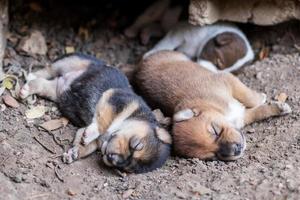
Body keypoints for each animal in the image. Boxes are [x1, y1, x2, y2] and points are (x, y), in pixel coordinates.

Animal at [19, 54, 171, 173]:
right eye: (137, 145)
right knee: (48, 68)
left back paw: (27, 88)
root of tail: (66, 78)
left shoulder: (92, 137)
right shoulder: (113, 99)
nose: (110, 158)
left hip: (54, 90)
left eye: (125, 167)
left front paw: (74, 154)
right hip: (72, 60)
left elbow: (84, 145)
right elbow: (102, 123)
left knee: (41, 84)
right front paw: (92, 132)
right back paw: (30, 77)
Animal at [135, 50, 292, 160]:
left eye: (215, 131)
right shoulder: (242, 116)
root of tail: (139, 67)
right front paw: (278, 108)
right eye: (213, 156)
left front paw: (263, 99)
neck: (210, 105)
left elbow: (249, 98)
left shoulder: (227, 80)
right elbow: (256, 112)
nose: (236, 150)